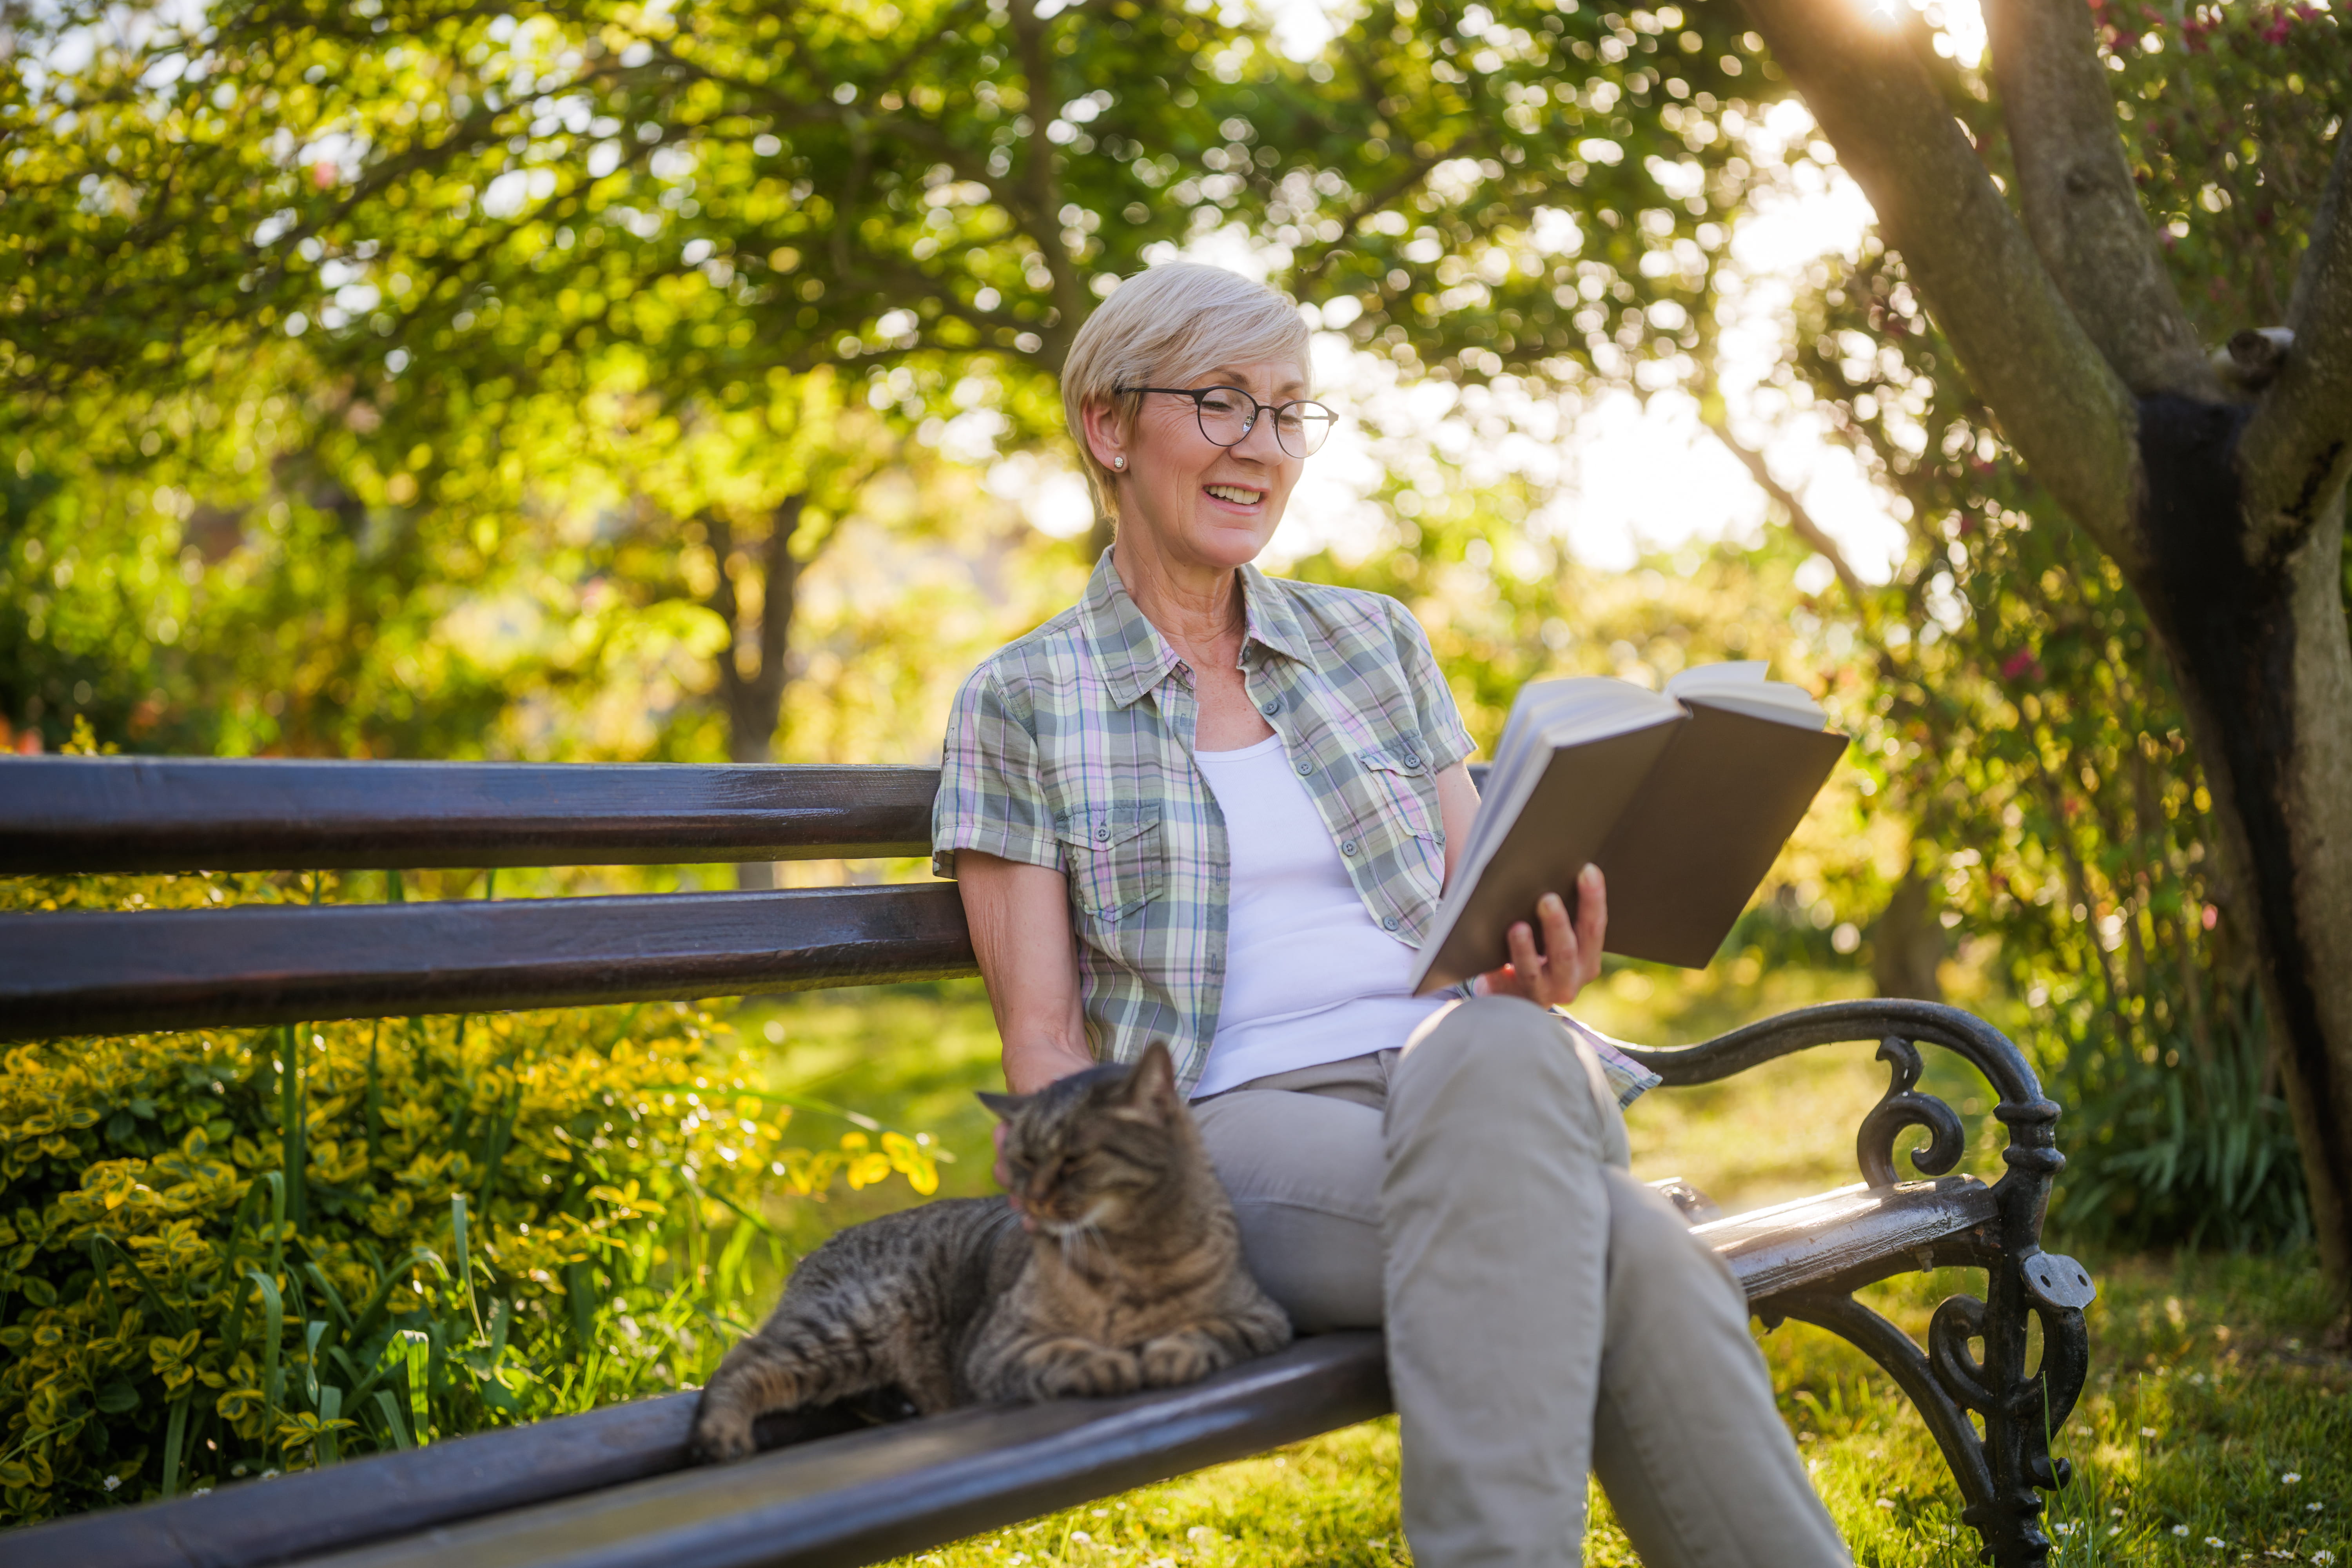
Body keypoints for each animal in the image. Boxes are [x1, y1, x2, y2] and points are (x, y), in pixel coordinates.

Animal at [687, 1034, 1298, 1467]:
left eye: (1073, 1160)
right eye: (1023, 1161)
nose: (1034, 1198)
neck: (1132, 1254)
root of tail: (812, 1255)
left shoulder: (1262, 1318)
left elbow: (1206, 1331)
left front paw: (1171, 1352)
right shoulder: (1000, 1347)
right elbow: (1064, 1353)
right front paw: (1110, 1363)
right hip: (852, 1324)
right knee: (741, 1363)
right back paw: (722, 1434)